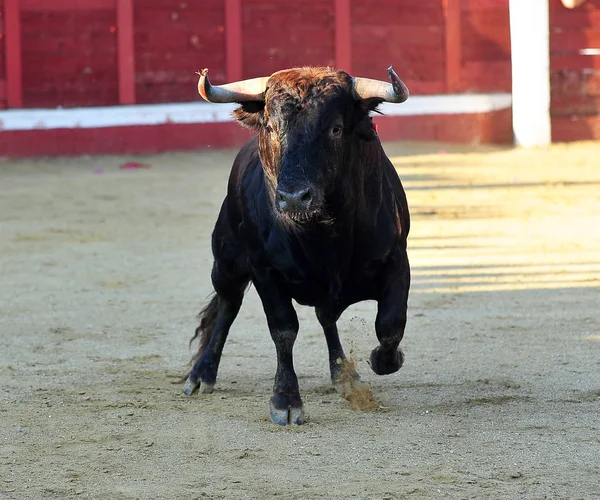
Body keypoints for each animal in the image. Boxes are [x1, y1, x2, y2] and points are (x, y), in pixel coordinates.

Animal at [184, 65, 412, 426]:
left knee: (326, 316)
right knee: (228, 305)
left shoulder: (397, 260)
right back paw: (201, 373)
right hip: (226, 263)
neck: (323, 234)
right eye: (271, 127)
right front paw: (286, 400)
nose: (293, 197)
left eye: (335, 129)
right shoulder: (265, 271)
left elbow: (390, 324)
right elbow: (284, 329)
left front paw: (382, 360)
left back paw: (343, 375)